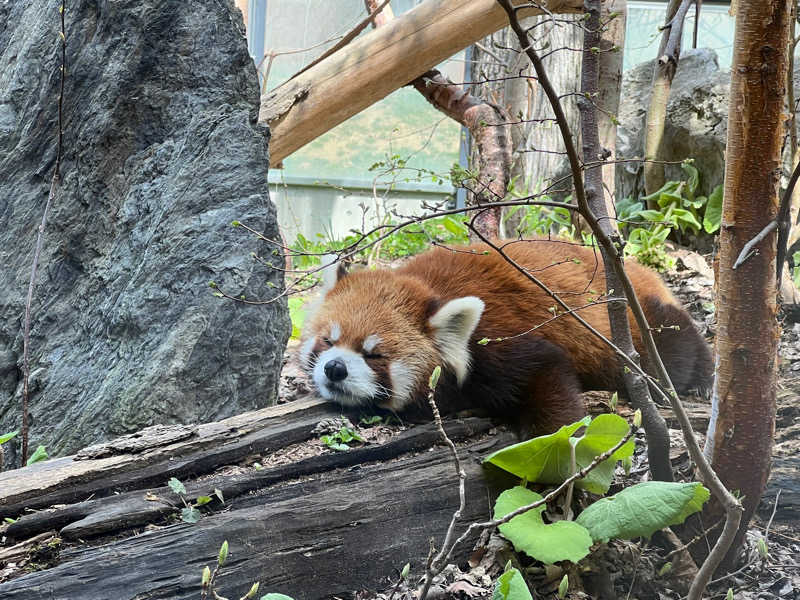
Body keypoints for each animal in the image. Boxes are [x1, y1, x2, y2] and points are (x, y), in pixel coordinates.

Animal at [300, 240, 712, 436]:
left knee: (674, 346)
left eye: (375, 355)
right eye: (328, 341)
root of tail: (635, 271)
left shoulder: (498, 341)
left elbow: (548, 372)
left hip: (637, 325)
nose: (335, 369)